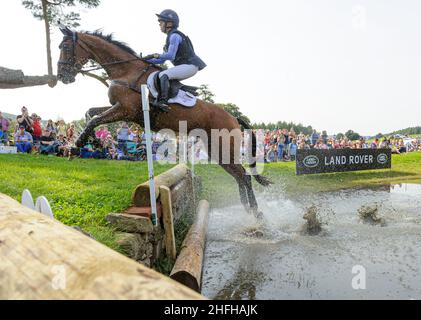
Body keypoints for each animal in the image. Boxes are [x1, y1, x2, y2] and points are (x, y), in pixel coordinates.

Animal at [56, 26, 272, 216]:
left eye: (65, 47)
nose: (62, 76)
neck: (125, 71)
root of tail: (233, 117)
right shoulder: (119, 108)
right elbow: (90, 114)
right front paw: (91, 141)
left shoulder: (126, 110)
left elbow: (95, 119)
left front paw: (78, 144)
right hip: (216, 150)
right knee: (239, 176)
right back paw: (247, 209)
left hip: (224, 146)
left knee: (244, 176)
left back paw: (256, 212)